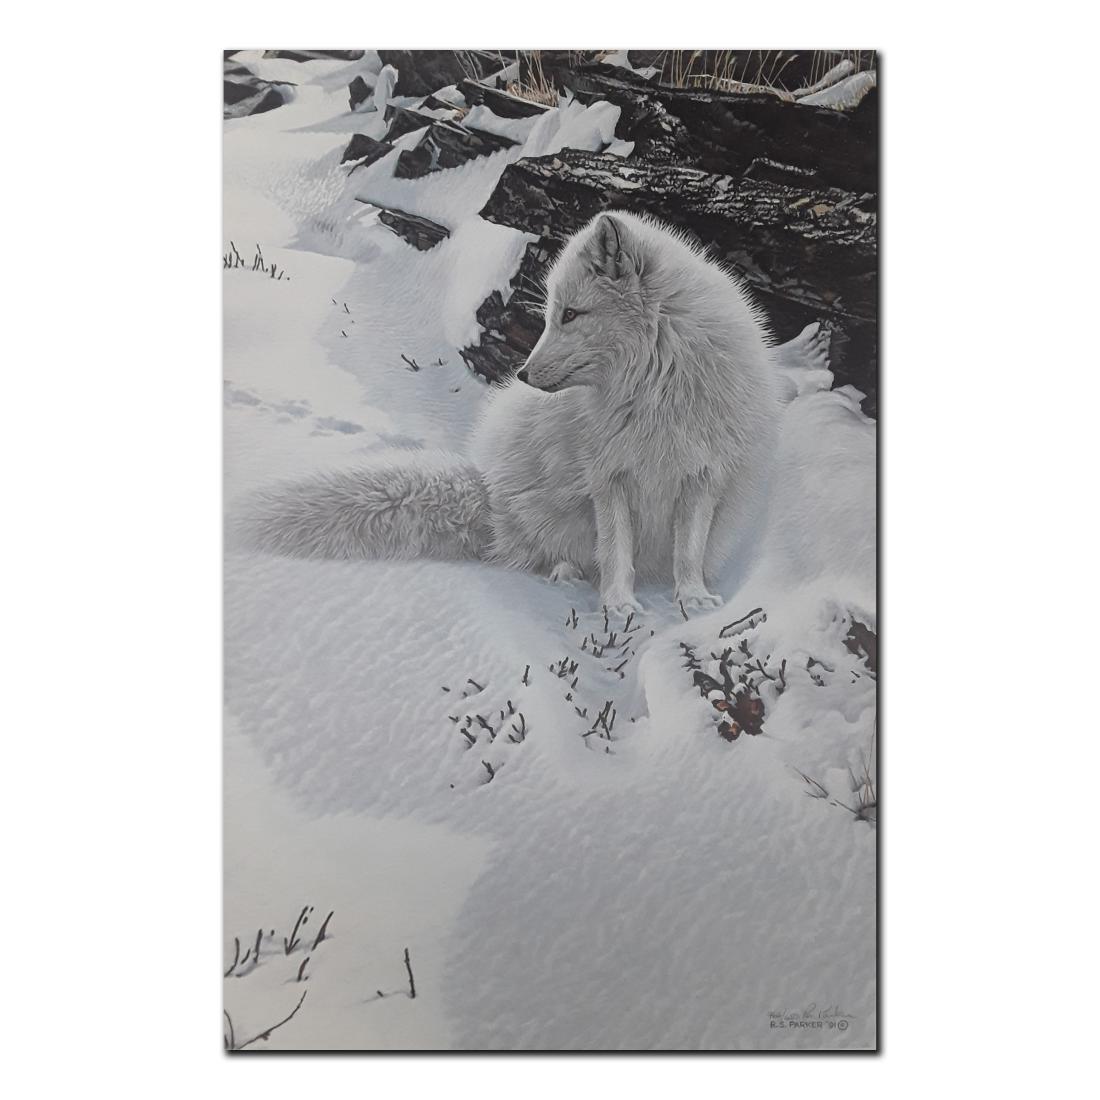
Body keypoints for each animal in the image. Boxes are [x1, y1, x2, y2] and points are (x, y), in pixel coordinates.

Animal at [243, 211, 790, 614]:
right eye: (549, 314)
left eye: (570, 314)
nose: (523, 375)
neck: (653, 384)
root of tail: (487, 490)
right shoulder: (608, 477)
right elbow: (617, 551)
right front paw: (618, 605)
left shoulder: (703, 474)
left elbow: (689, 549)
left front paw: (692, 599)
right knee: (536, 553)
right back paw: (566, 573)